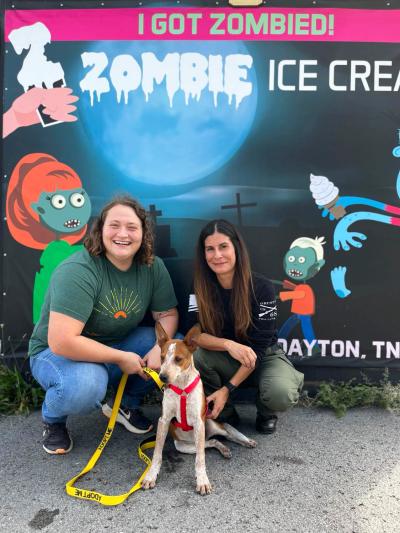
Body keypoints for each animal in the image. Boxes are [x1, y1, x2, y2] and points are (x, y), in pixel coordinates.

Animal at [142, 324, 258, 494]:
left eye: (178, 359)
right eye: (162, 357)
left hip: (208, 424)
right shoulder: (164, 420)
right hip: (184, 446)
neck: (182, 387)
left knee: (227, 432)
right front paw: (151, 476)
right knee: (212, 441)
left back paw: (245, 440)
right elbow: (157, 453)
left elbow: (200, 460)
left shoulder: (198, 421)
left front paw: (202, 480)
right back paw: (224, 448)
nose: (162, 377)